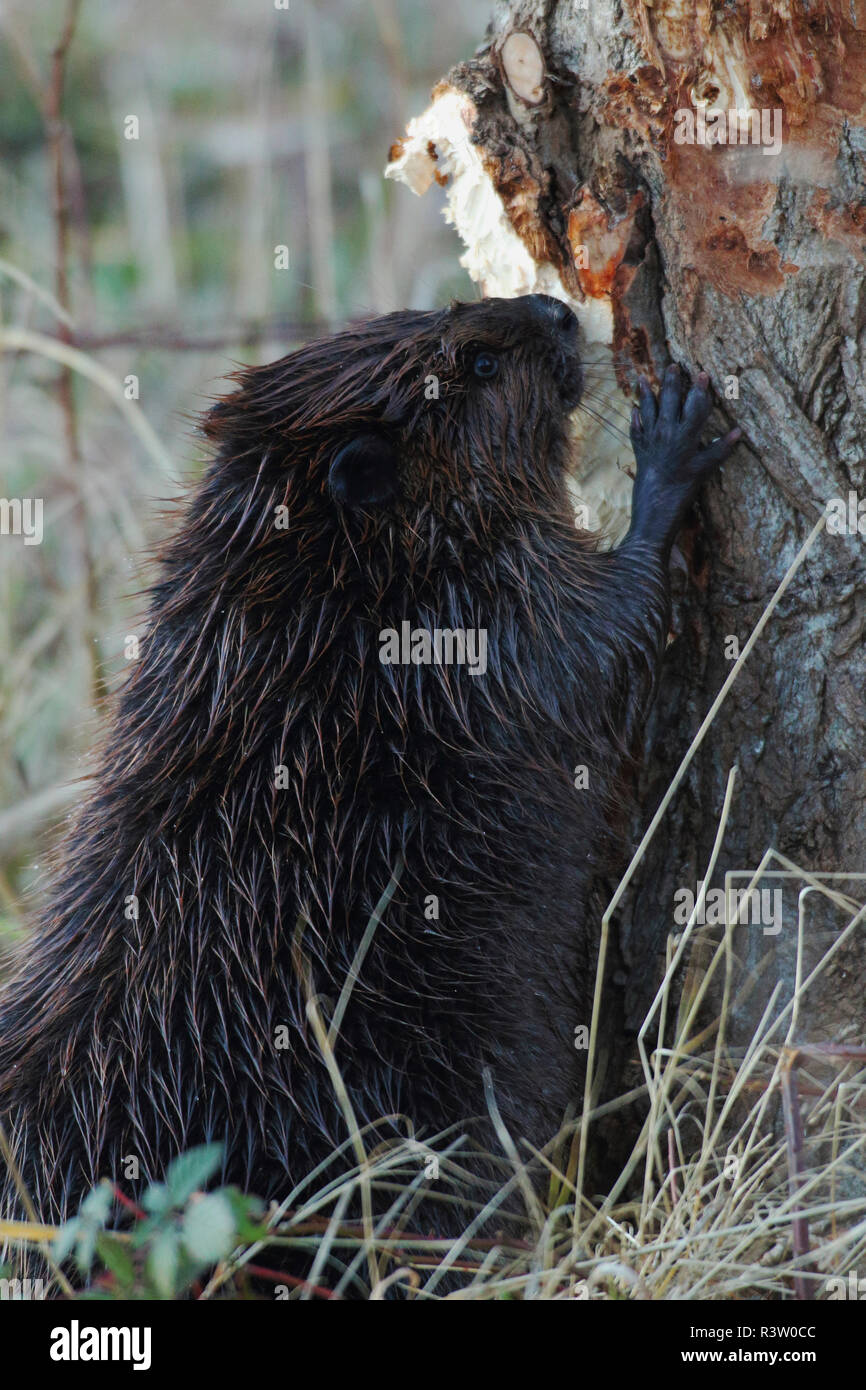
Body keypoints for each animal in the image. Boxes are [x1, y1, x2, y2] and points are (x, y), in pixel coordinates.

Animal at [0, 298, 739, 1256]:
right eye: (478, 364)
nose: (555, 311)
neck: (325, 594)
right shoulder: (482, 623)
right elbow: (610, 638)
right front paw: (670, 442)